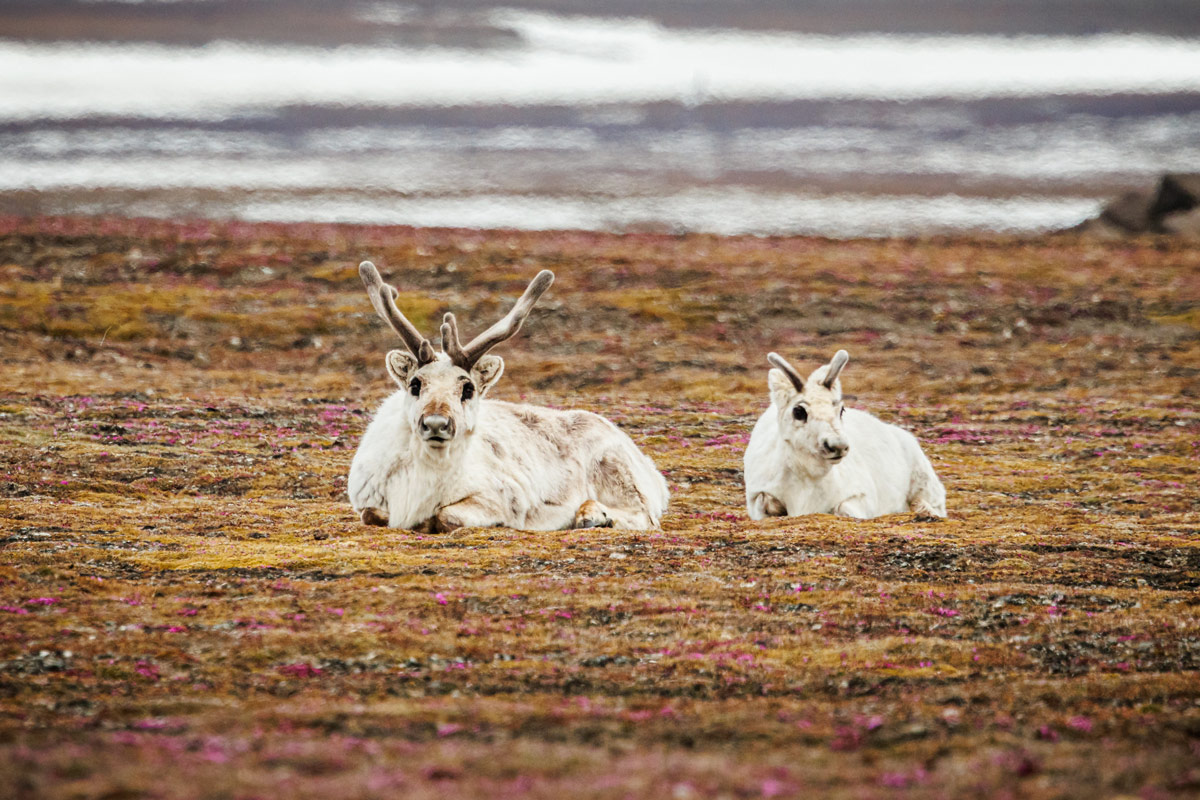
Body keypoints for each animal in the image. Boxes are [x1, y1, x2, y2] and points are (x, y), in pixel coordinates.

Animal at [347, 261, 669, 532]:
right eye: (415, 384)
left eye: (468, 388)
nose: (436, 423)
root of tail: (652, 471)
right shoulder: (368, 501)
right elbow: (370, 514)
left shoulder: (503, 498)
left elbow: (445, 515)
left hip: (616, 470)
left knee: (645, 515)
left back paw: (591, 515)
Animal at [743, 349, 946, 520]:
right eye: (798, 411)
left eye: (841, 410)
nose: (838, 445)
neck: (807, 478)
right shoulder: (757, 497)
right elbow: (767, 503)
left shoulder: (862, 496)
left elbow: (843, 508)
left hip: (925, 482)